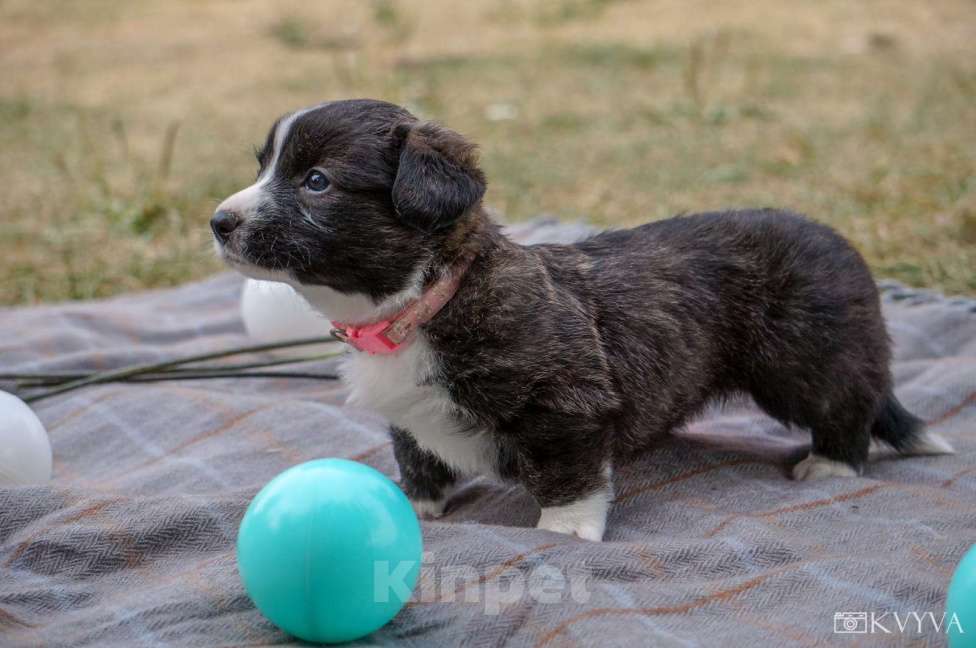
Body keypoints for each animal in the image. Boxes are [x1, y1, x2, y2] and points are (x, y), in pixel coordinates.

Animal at [214, 97, 952, 540]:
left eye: (316, 182)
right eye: (264, 166)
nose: (218, 222)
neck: (425, 301)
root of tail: (844, 248)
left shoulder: (565, 402)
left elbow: (567, 474)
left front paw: (564, 532)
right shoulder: (410, 418)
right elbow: (418, 459)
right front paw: (417, 511)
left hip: (806, 361)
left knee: (848, 407)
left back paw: (830, 467)